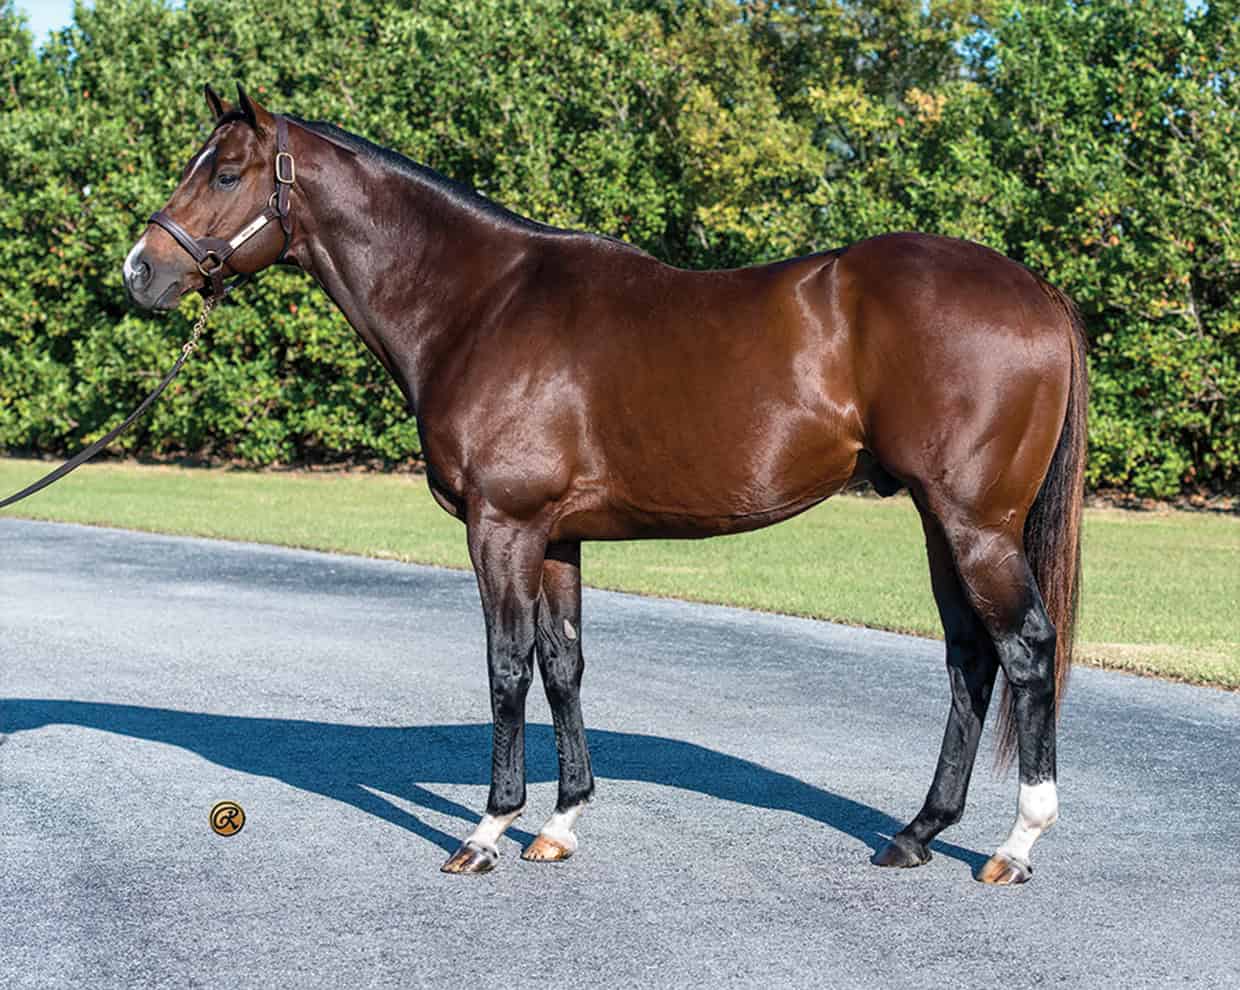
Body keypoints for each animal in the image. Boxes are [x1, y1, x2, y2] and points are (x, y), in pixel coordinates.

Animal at [123, 84, 1086, 884]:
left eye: (228, 171)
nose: (141, 271)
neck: (481, 304)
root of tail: (1036, 292)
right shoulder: (556, 535)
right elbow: (563, 664)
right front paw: (559, 824)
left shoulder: (502, 525)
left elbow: (506, 665)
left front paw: (487, 830)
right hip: (939, 521)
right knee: (970, 659)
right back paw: (918, 833)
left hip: (975, 523)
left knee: (1025, 650)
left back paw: (1014, 845)